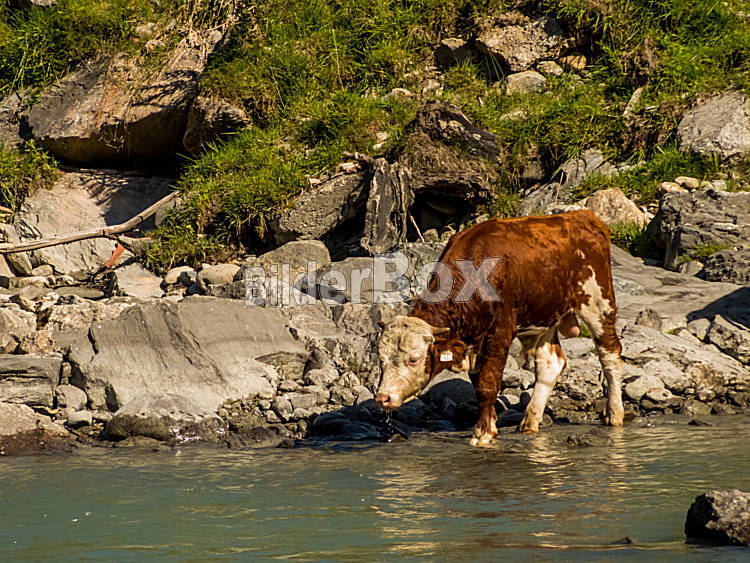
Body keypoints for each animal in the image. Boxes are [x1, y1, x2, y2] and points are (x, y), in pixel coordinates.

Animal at [374, 210, 625, 446]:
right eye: (381, 360)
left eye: (413, 359)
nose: (383, 398)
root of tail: (583, 216)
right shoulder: (475, 343)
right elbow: (479, 386)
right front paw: (489, 425)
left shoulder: (500, 331)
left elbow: (488, 385)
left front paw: (482, 434)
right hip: (546, 314)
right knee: (550, 364)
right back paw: (530, 423)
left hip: (598, 300)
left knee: (610, 354)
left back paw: (614, 414)